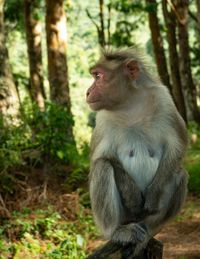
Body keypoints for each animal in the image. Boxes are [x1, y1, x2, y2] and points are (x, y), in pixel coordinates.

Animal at [85, 48, 188, 256]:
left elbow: (178, 145)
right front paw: (132, 194)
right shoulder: (102, 118)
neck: (129, 104)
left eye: (98, 76)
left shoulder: (164, 99)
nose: (88, 92)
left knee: (179, 173)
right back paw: (116, 232)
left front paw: (153, 195)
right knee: (102, 167)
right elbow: (100, 158)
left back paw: (149, 229)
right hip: (125, 216)